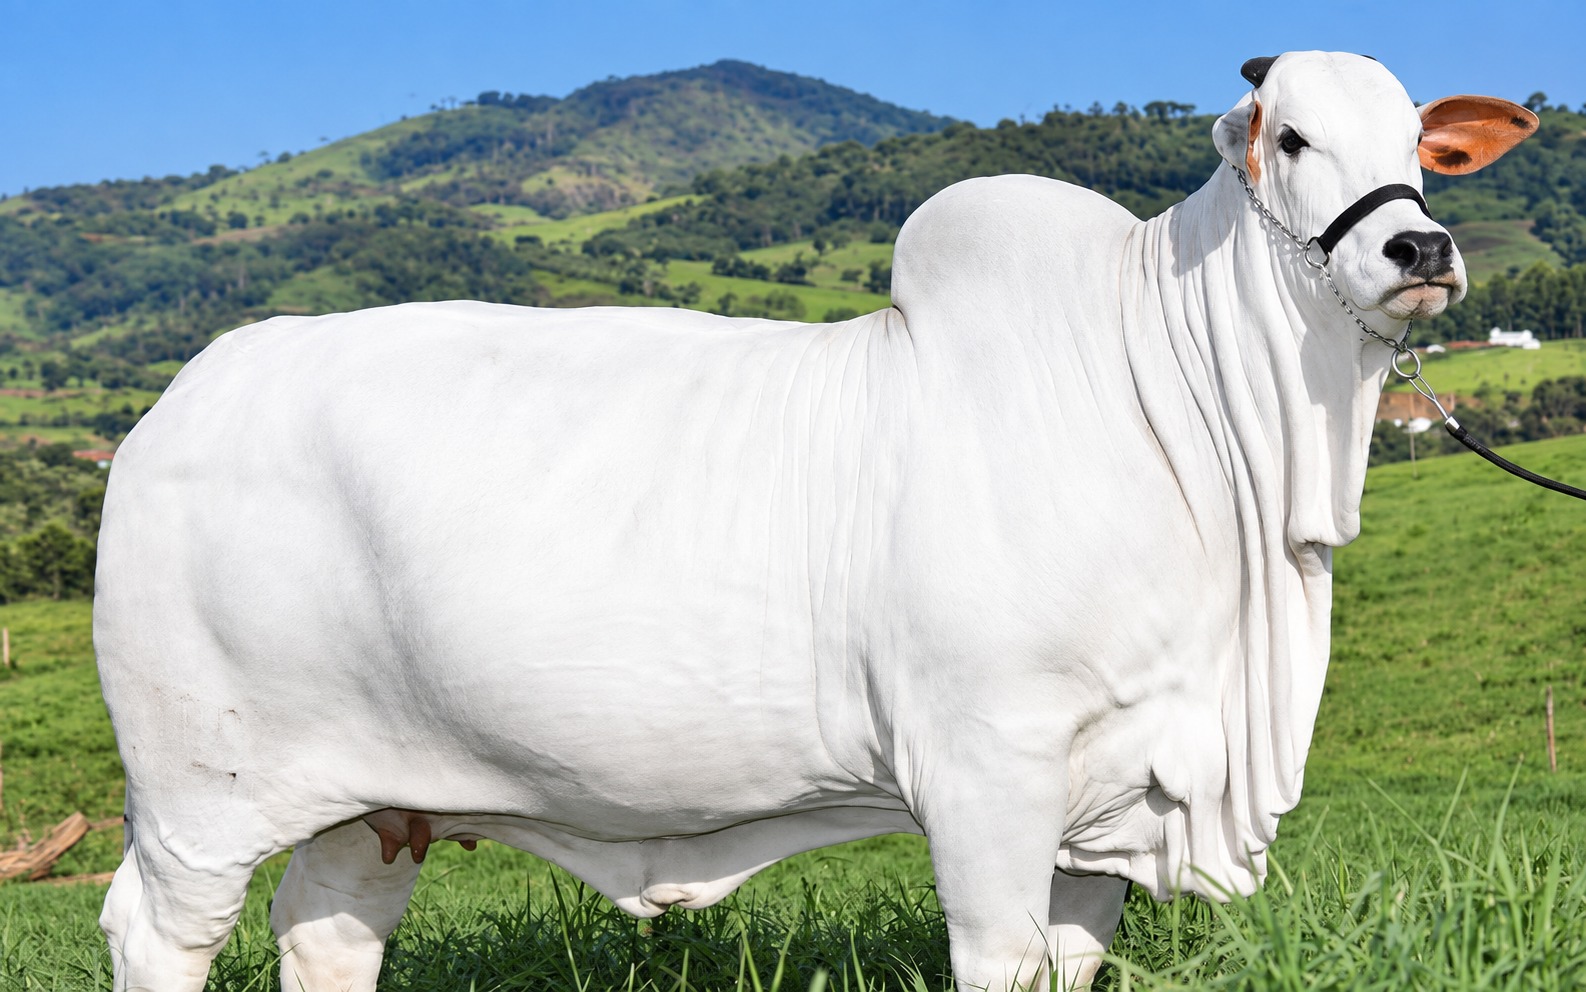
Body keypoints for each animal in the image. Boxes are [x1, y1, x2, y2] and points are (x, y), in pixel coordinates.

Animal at [93, 51, 1533, 992]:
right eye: (1287, 138)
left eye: (1418, 144)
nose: (1419, 251)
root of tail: (185, 397)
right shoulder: (986, 769)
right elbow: (1000, 960)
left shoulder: (1108, 801)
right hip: (196, 792)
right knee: (155, 934)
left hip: (373, 800)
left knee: (328, 931)